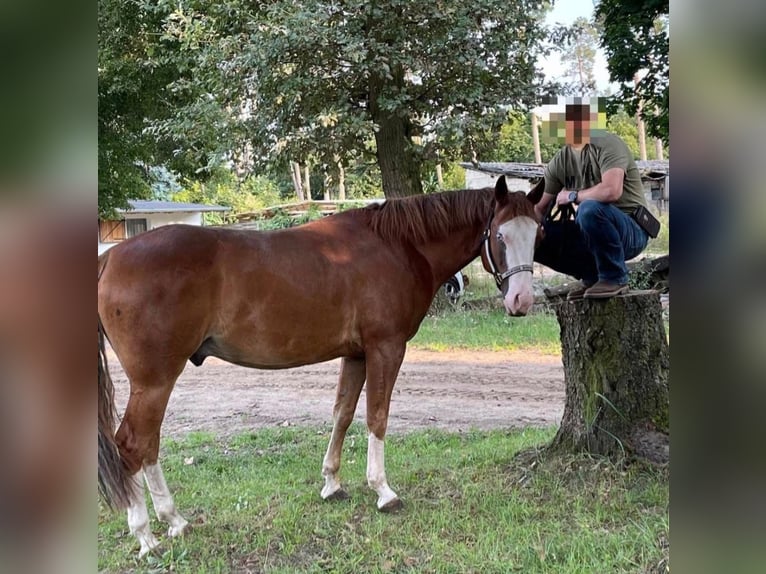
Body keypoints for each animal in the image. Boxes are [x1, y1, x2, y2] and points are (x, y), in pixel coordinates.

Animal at [98, 176, 540, 557]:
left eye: (537, 234)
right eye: (500, 235)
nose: (521, 301)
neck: (397, 245)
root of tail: (112, 255)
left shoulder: (356, 353)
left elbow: (342, 413)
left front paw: (332, 483)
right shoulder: (386, 348)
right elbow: (377, 417)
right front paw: (383, 491)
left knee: (148, 446)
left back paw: (174, 521)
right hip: (155, 380)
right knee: (133, 445)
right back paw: (146, 535)